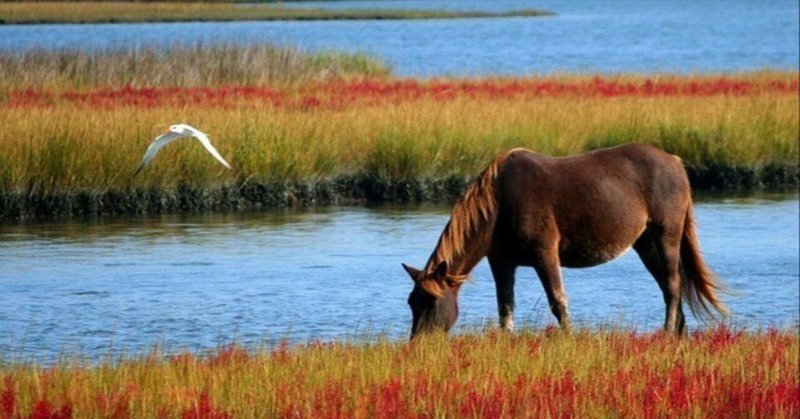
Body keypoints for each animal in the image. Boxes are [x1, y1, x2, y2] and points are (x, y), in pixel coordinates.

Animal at [404, 144, 728, 338]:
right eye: (411, 302)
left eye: (432, 302)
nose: (419, 344)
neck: (500, 203)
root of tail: (675, 161)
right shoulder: (502, 261)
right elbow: (505, 306)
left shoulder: (545, 254)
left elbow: (558, 300)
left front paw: (569, 337)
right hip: (645, 244)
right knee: (667, 285)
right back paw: (678, 332)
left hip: (666, 236)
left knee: (672, 285)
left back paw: (667, 332)